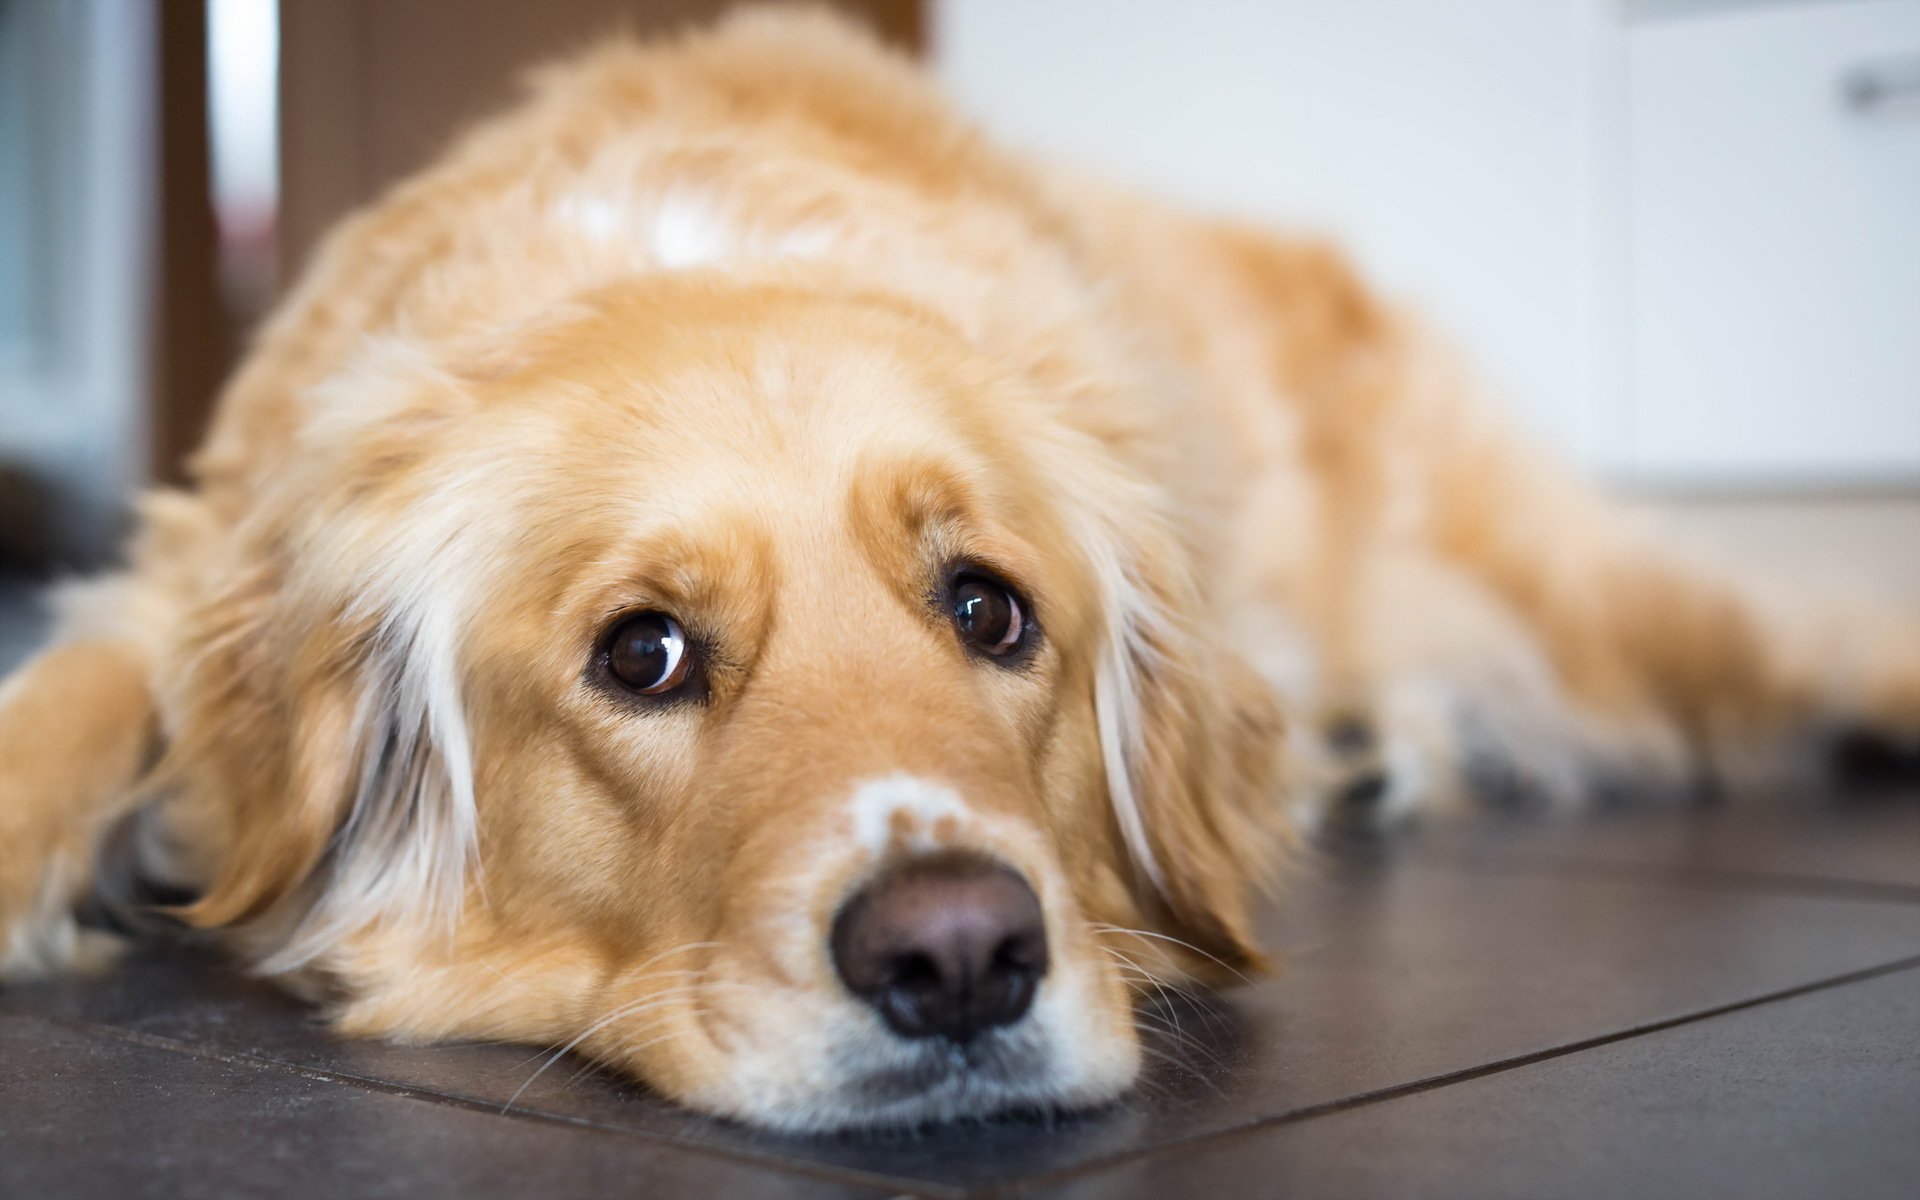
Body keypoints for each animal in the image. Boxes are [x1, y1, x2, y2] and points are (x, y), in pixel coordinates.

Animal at [3, 11, 1920, 1128]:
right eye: (642, 653)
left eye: (991, 610)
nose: (959, 960)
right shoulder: (186, 572)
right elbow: (59, 711)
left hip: (1621, 621)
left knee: (1812, 635)